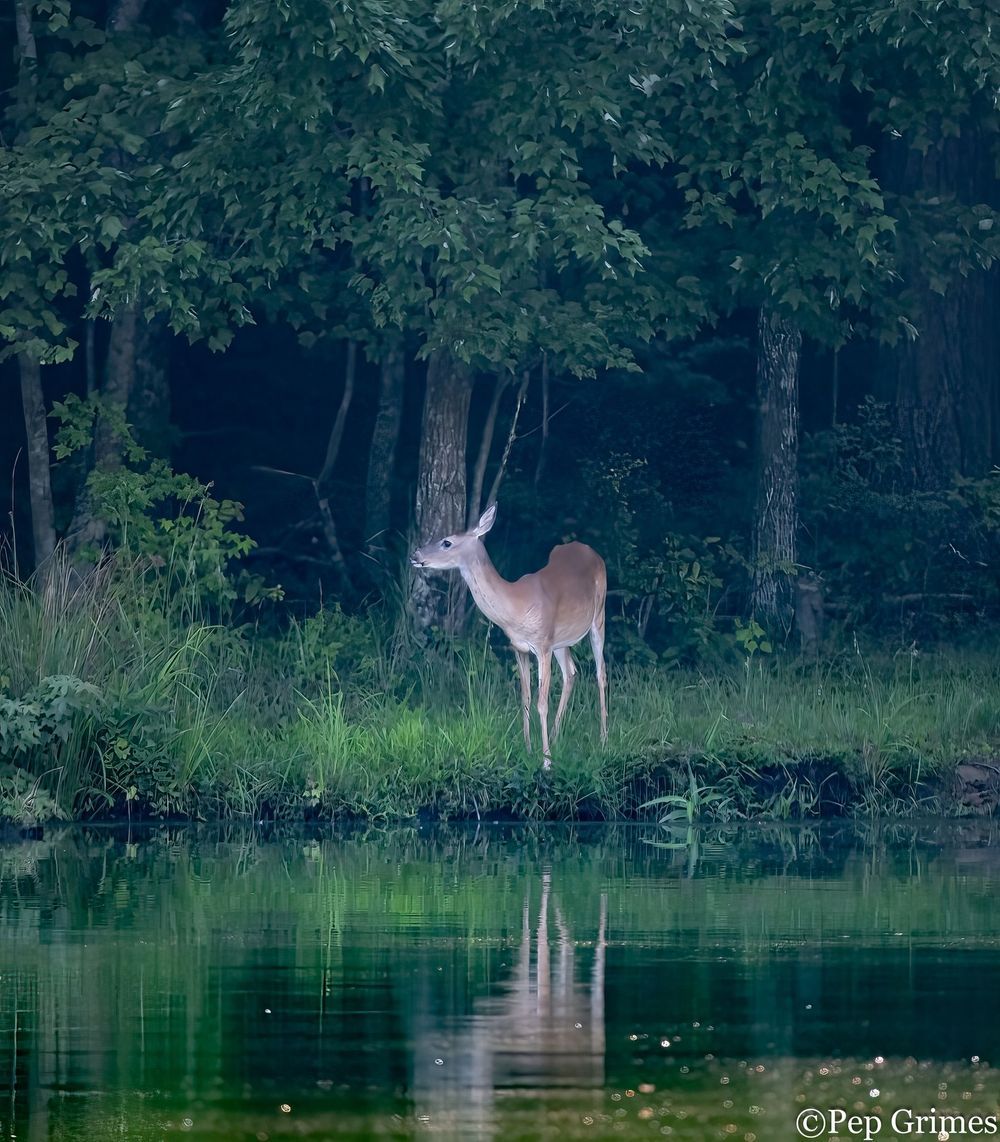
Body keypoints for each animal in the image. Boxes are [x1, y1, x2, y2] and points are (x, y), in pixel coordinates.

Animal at [410, 503, 608, 767]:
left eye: (447, 542)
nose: (415, 554)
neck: (516, 606)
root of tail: (592, 551)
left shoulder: (542, 645)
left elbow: (541, 703)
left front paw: (546, 761)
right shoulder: (520, 648)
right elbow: (525, 698)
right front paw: (529, 749)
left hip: (598, 616)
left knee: (600, 672)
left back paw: (603, 739)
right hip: (561, 640)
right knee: (571, 672)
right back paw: (556, 737)